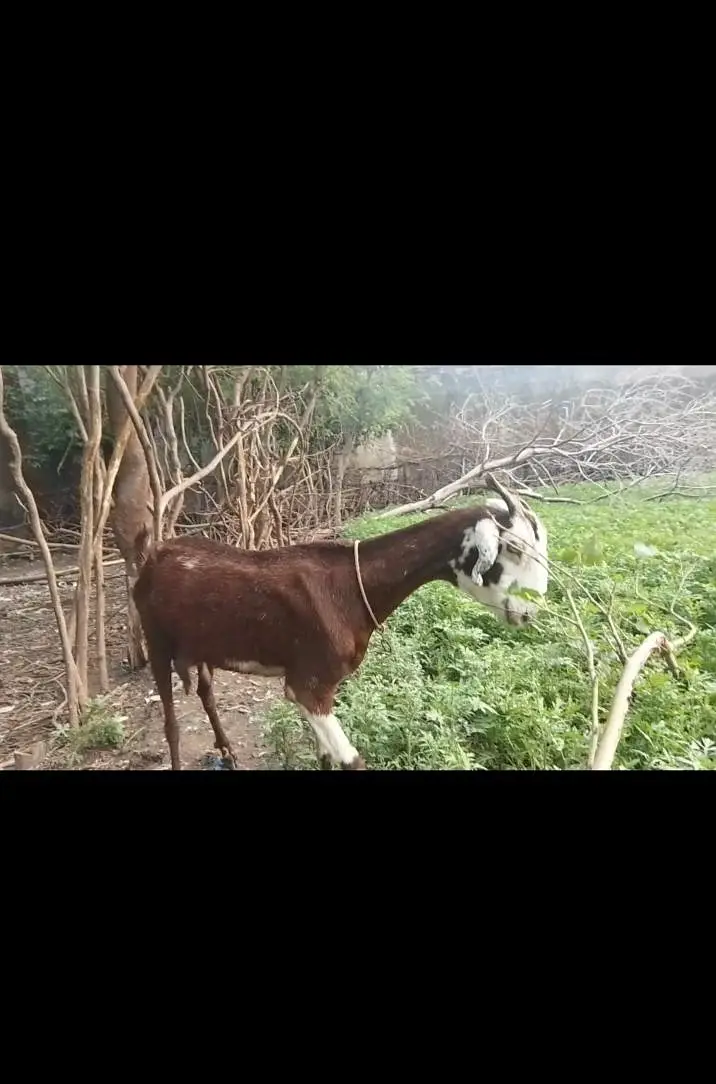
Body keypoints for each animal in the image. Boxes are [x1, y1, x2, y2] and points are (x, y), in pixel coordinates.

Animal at [132, 490, 548, 770]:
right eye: (513, 548)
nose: (530, 612)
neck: (351, 586)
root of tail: (154, 553)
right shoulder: (309, 683)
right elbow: (351, 760)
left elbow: (326, 757)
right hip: (154, 636)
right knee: (171, 722)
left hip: (200, 642)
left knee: (206, 692)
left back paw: (227, 752)